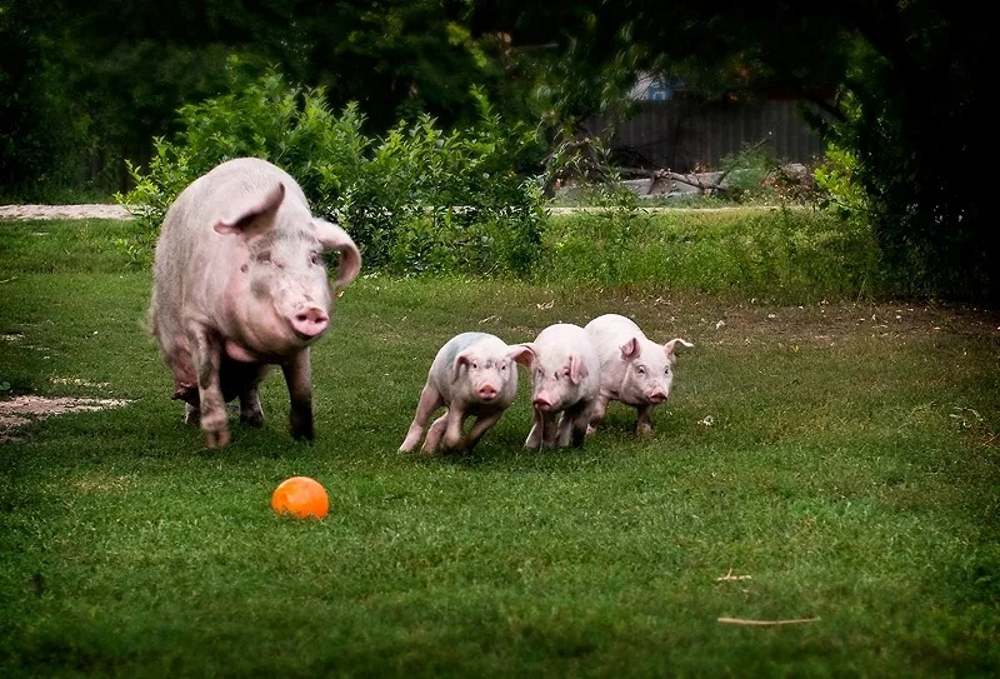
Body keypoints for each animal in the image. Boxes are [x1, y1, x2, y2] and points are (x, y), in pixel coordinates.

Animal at [148, 157, 360, 448]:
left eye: (314, 258)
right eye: (266, 258)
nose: (311, 309)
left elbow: (302, 387)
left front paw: (304, 439)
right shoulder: (196, 317)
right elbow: (205, 372)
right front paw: (217, 442)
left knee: (250, 386)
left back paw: (255, 423)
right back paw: (193, 420)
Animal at [400, 332, 536, 454]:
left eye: (503, 367)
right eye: (474, 365)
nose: (488, 386)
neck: (479, 405)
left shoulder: (497, 410)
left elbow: (476, 434)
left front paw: (464, 452)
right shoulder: (458, 402)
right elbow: (453, 435)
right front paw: (445, 449)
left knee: (438, 423)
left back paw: (426, 453)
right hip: (432, 387)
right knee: (419, 420)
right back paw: (404, 451)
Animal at [520, 324, 596, 452]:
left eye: (566, 373)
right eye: (540, 370)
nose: (542, 398)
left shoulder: (590, 398)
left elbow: (580, 425)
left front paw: (578, 447)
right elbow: (547, 427)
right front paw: (547, 450)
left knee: (566, 418)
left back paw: (562, 446)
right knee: (538, 421)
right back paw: (528, 447)